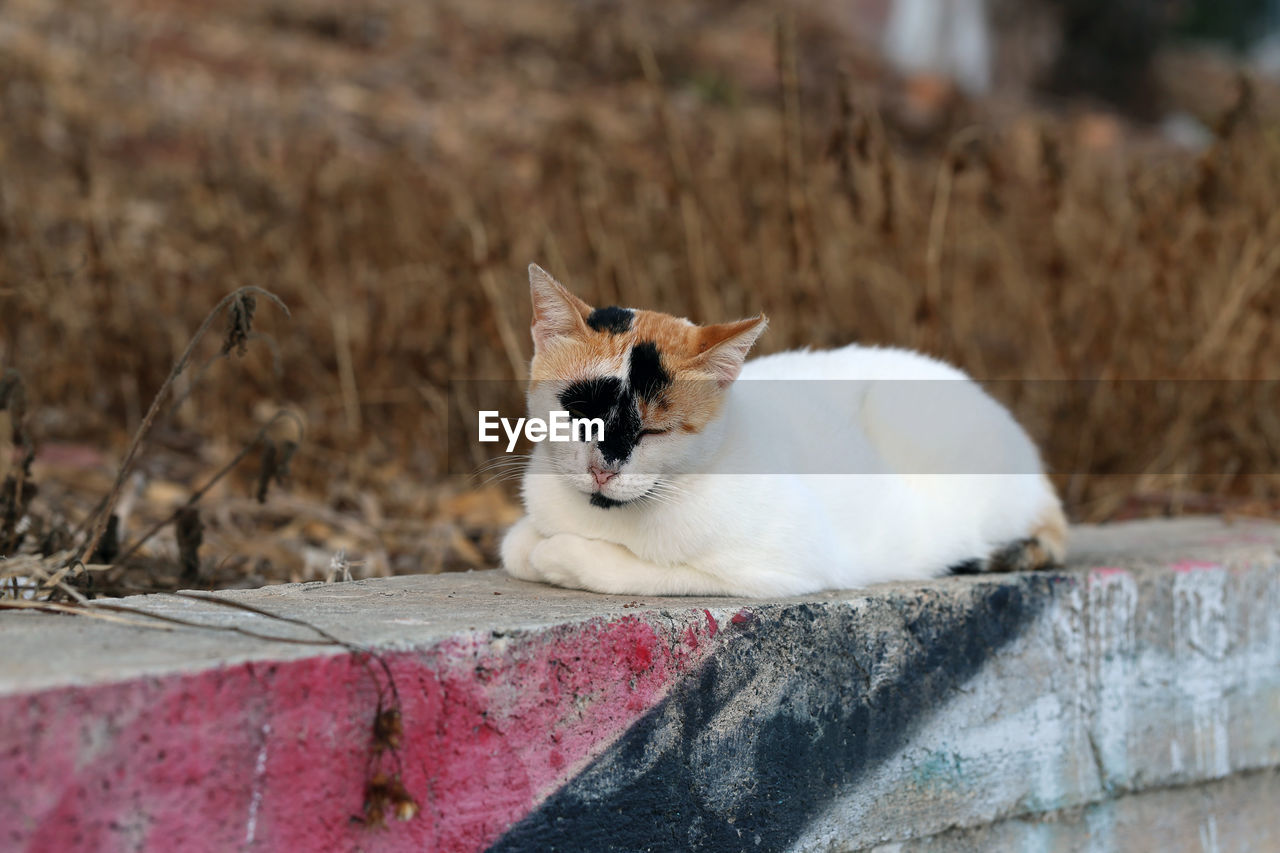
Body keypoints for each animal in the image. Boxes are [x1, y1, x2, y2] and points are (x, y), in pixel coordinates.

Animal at [499, 262, 1070, 594]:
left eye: (655, 433)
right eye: (578, 414)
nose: (603, 470)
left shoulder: (778, 567)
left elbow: (638, 571)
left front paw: (562, 555)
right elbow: (515, 545)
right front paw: (534, 543)